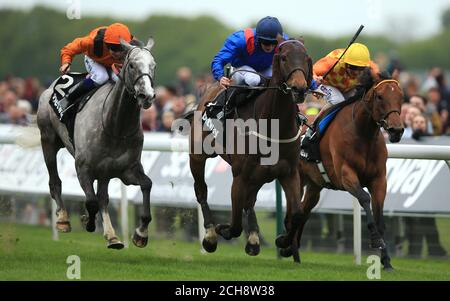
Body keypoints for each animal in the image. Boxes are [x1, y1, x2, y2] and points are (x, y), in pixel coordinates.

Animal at [37, 38, 156, 248]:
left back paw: (112, 236)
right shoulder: (83, 168)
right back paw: (63, 220)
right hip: (48, 140)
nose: (146, 95)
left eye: (153, 65)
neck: (115, 127)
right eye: (132, 65)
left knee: (103, 197)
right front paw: (87, 221)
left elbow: (147, 185)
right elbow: (91, 202)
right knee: (55, 182)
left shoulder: (127, 170)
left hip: (105, 172)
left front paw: (140, 234)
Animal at [186, 35, 312, 255]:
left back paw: (253, 238)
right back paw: (210, 236)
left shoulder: (289, 173)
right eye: (284, 58)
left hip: (260, 175)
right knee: (201, 191)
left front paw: (284, 241)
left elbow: (297, 213)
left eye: (306, 58)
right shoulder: (240, 175)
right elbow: (235, 225)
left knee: (249, 202)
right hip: (198, 156)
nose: (300, 88)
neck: (273, 126)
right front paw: (222, 229)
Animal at [276, 71, 402, 268]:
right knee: (294, 213)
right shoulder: (346, 174)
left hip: (315, 185)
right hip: (297, 178)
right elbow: (364, 198)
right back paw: (285, 242)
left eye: (401, 96)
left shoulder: (379, 179)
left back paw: (292, 249)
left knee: (303, 211)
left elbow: (380, 216)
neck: (363, 134)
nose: (397, 130)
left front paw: (387, 261)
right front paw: (375, 239)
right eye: (380, 96)